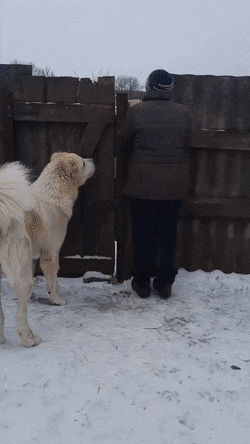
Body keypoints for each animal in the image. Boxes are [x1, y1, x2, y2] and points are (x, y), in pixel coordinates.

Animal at [0, 153, 95, 346]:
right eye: (83, 163)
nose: (93, 161)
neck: (54, 193)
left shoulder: (31, 258)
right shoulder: (50, 254)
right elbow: (52, 282)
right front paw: (57, 300)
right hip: (22, 278)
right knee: (21, 315)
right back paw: (29, 339)